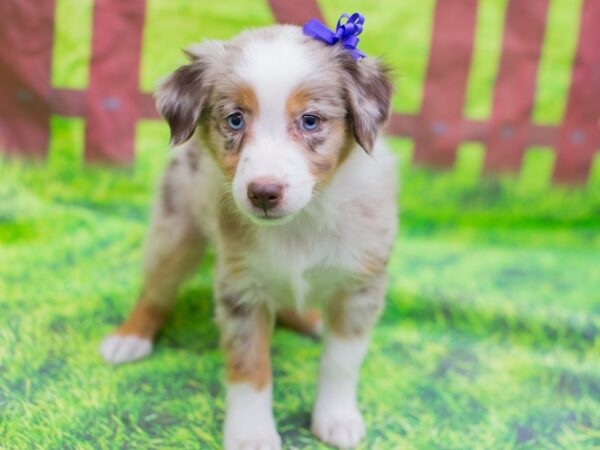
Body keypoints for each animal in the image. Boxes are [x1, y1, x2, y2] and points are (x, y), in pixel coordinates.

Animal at [101, 23, 396, 450]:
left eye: (310, 121)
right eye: (235, 120)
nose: (263, 193)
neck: (302, 221)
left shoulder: (360, 285)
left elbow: (341, 361)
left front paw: (336, 417)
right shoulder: (241, 289)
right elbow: (249, 367)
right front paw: (252, 434)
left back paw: (312, 322)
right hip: (174, 231)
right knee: (155, 291)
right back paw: (130, 337)